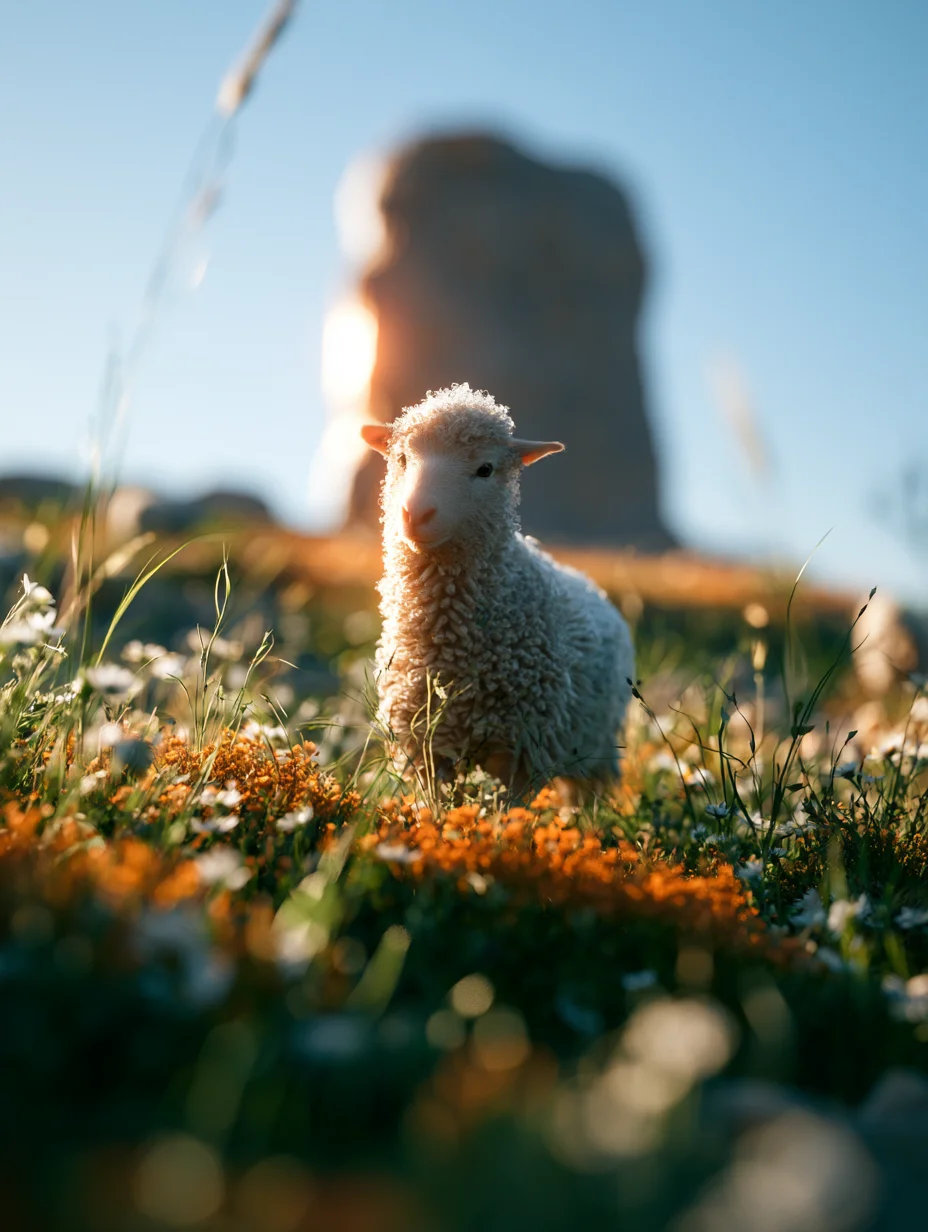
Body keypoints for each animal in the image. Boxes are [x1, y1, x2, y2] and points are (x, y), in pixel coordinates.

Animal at [360, 383, 634, 795]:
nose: (416, 514)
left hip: (597, 743)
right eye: (403, 458)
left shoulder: (521, 749)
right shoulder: (425, 747)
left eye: (485, 469)